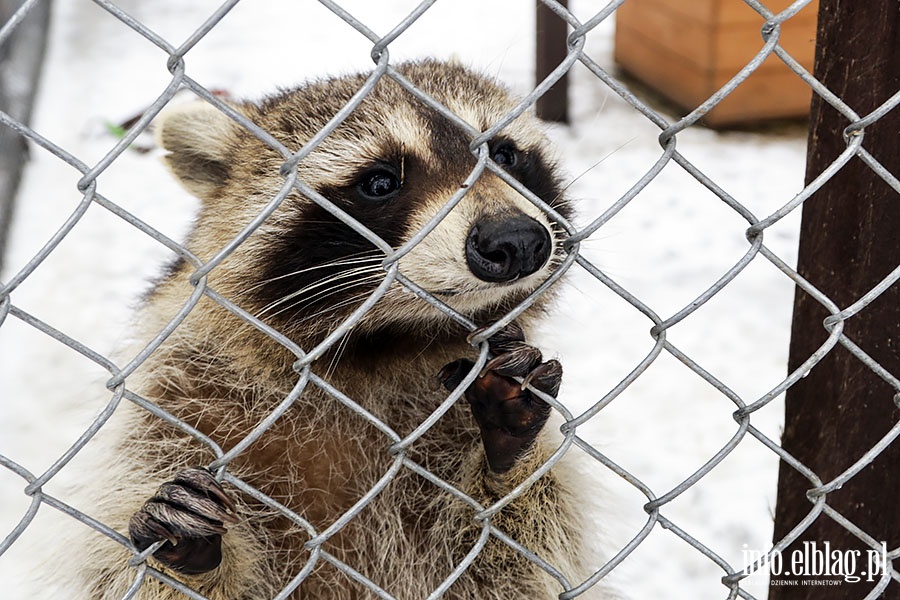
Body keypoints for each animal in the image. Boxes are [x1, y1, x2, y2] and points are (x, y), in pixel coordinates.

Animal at [58, 61, 604, 600]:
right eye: (379, 183)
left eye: (506, 155)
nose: (517, 240)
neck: (381, 346)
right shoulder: (176, 398)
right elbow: (119, 566)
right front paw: (191, 562)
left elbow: (507, 565)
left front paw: (507, 452)